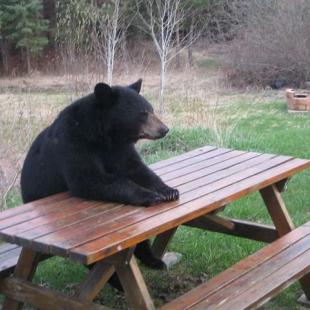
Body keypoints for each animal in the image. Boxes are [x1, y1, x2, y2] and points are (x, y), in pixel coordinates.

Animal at [20, 79, 179, 286]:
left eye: (151, 109)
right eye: (143, 113)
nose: (164, 129)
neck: (104, 135)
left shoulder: (119, 149)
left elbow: (136, 169)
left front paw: (168, 190)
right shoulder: (73, 143)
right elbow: (90, 179)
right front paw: (150, 196)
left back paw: (154, 260)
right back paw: (117, 281)